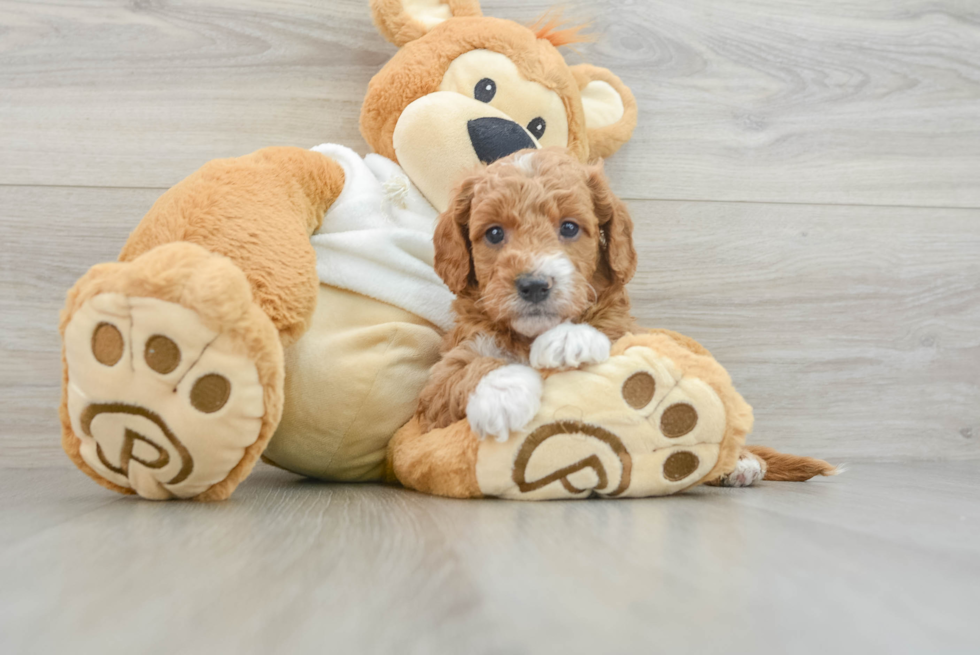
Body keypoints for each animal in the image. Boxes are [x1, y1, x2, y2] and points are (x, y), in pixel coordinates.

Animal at [412, 149, 636, 444]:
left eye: (569, 227)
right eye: (494, 232)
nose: (534, 285)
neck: (527, 338)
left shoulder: (629, 332)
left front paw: (570, 337)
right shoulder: (436, 390)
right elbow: (465, 369)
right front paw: (502, 394)